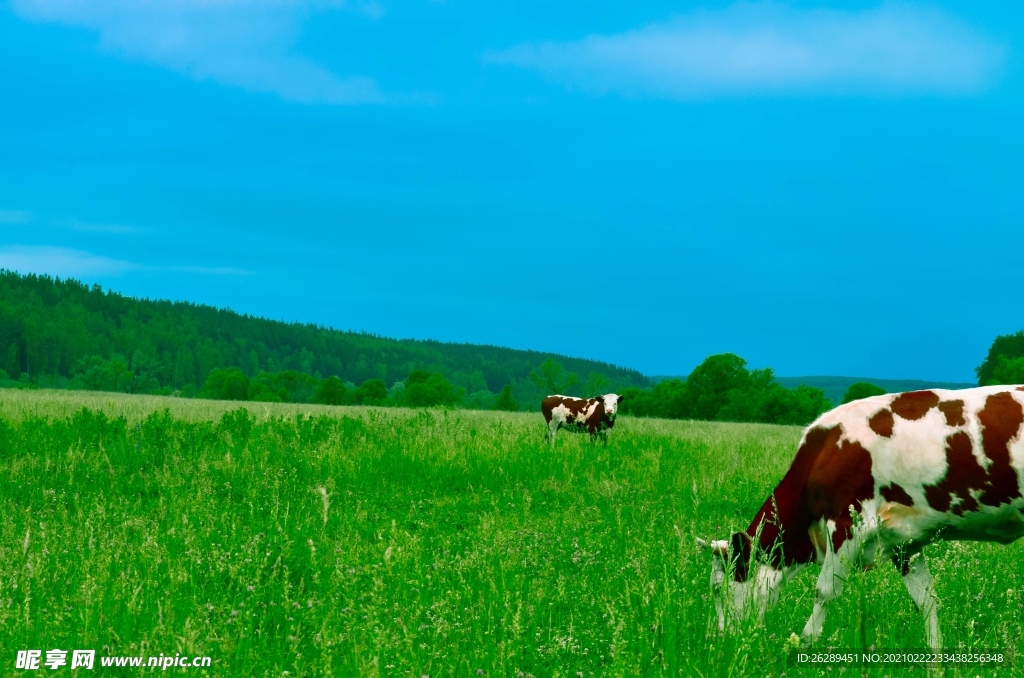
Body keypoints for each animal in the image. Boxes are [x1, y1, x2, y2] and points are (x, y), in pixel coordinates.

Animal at [700, 385, 1024, 655]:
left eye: (719, 588)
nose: (718, 640)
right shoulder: (905, 542)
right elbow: (926, 600)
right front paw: (937, 661)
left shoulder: (847, 524)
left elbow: (824, 592)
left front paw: (802, 648)